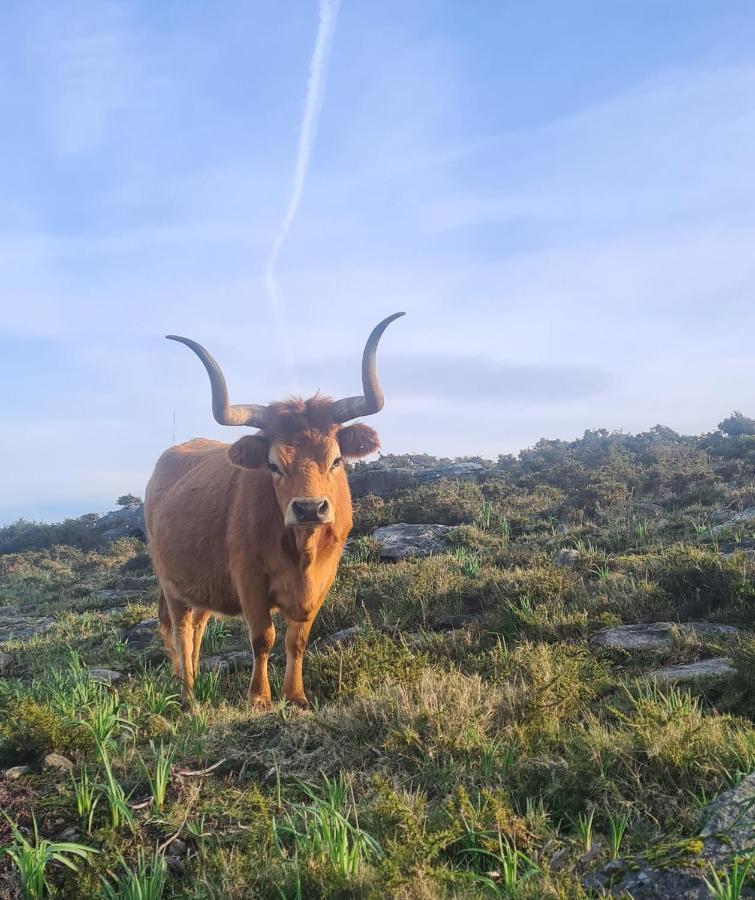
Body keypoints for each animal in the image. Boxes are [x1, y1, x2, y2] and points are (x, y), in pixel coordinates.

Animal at [145, 312, 404, 708]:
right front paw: (259, 698)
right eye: (273, 465)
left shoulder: (323, 581)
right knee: (181, 632)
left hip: (200, 584)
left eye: (336, 460)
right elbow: (262, 637)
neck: (302, 552)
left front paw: (295, 695)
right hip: (171, 583)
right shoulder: (249, 579)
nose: (310, 507)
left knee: (198, 628)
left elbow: (296, 639)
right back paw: (188, 694)